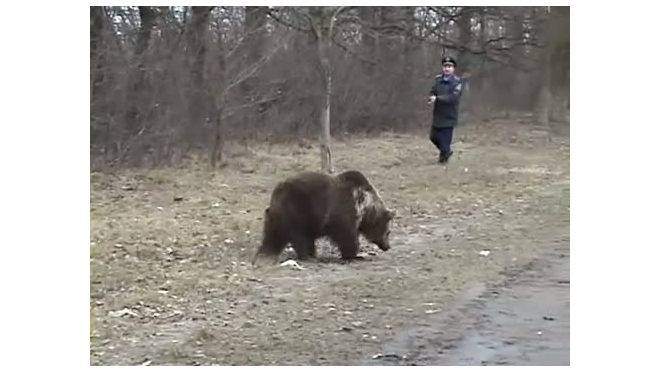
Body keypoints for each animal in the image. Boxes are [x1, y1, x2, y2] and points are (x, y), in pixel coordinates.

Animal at [251, 170, 398, 266]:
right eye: (388, 231)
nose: (387, 246)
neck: (365, 208)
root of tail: (275, 195)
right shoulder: (343, 212)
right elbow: (347, 236)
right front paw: (354, 255)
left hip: (280, 217)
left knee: (273, 237)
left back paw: (265, 254)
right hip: (297, 211)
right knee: (299, 236)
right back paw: (309, 256)